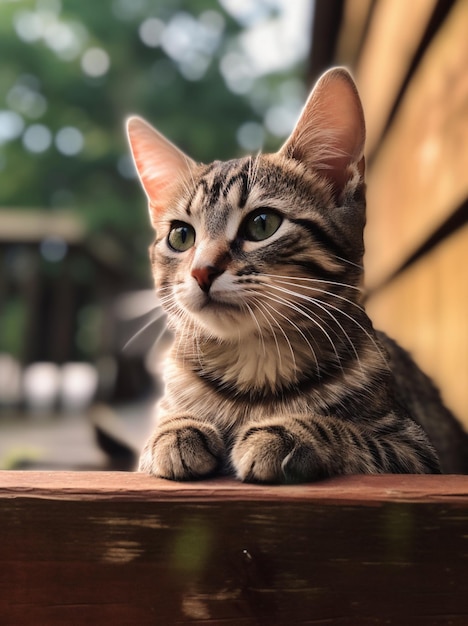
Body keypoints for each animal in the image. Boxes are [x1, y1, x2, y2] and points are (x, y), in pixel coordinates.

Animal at [125, 66, 468, 480]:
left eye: (262, 224)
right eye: (180, 236)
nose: (202, 271)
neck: (254, 371)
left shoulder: (415, 452)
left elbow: (357, 438)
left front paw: (289, 432)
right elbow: (163, 425)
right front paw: (174, 429)